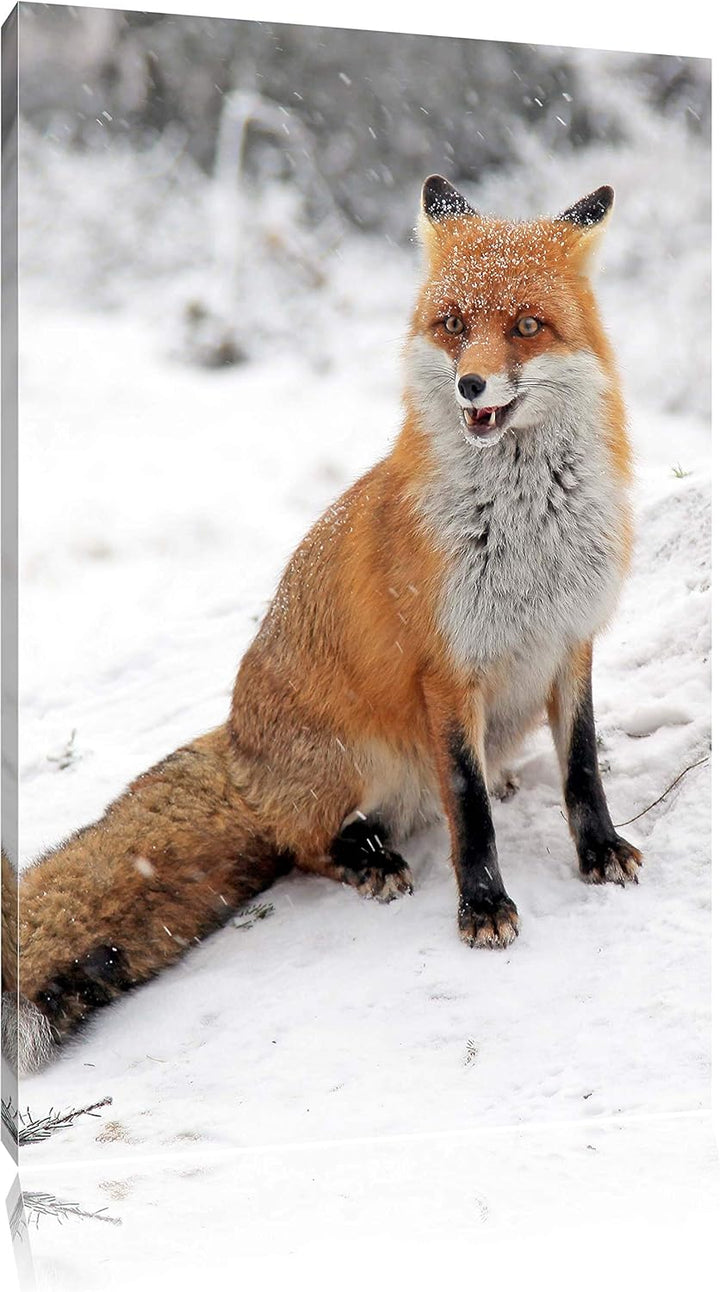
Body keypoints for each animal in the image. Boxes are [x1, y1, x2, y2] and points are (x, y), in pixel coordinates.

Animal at [2, 175, 642, 1074]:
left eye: (525, 327)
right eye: (453, 325)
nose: (471, 388)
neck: (525, 535)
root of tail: (237, 746)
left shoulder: (571, 640)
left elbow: (582, 769)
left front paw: (599, 853)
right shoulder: (446, 671)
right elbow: (469, 811)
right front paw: (482, 907)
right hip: (357, 760)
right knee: (304, 842)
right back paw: (366, 858)